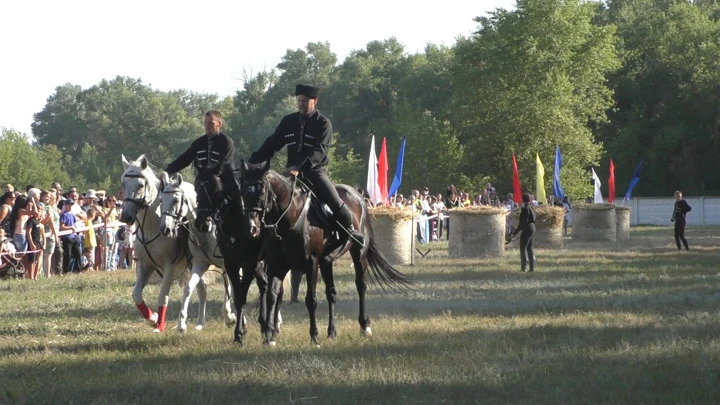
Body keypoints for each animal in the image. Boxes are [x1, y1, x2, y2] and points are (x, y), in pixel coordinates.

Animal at [158, 170, 236, 332]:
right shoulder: (200, 265)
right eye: (161, 200)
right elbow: (188, 288)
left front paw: (231, 317)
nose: (165, 229)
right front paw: (181, 324)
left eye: (176, 200)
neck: (205, 230)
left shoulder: (227, 264)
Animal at [240, 159, 410, 346]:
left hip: (358, 254)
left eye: (262, 190)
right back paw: (332, 332)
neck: (290, 217)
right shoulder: (278, 264)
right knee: (331, 293)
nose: (251, 228)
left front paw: (314, 336)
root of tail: (358, 196)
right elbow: (272, 295)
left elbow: (310, 300)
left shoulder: (311, 264)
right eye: (243, 191)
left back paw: (364, 326)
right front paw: (269, 336)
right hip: (327, 261)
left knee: (361, 285)